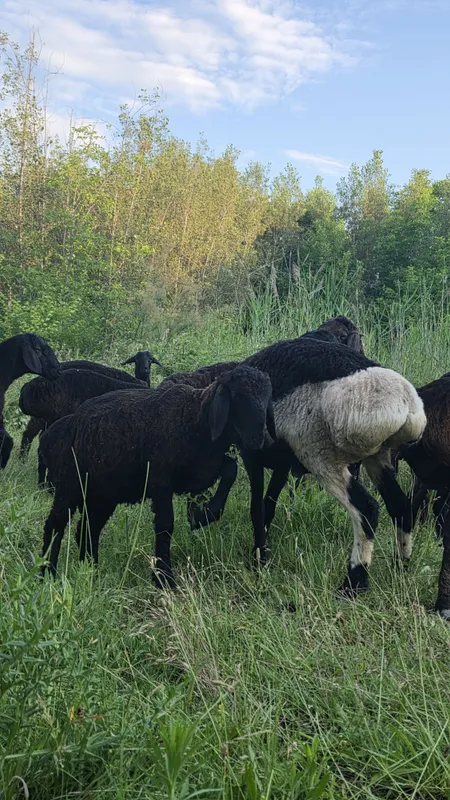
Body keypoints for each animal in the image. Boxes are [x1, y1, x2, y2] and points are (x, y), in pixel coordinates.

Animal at [38, 365, 274, 587]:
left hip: (102, 494)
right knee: (55, 525)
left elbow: (230, 468)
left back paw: (89, 570)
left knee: (87, 529)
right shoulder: (161, 481)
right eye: (238, 396)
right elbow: (165, 526)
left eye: (266, 398)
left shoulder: (200, 471)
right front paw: (164, 578)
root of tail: (67, 425)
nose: (258, 439)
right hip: (70, 486)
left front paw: (204, 515)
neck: (195, 419)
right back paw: (47, 573)